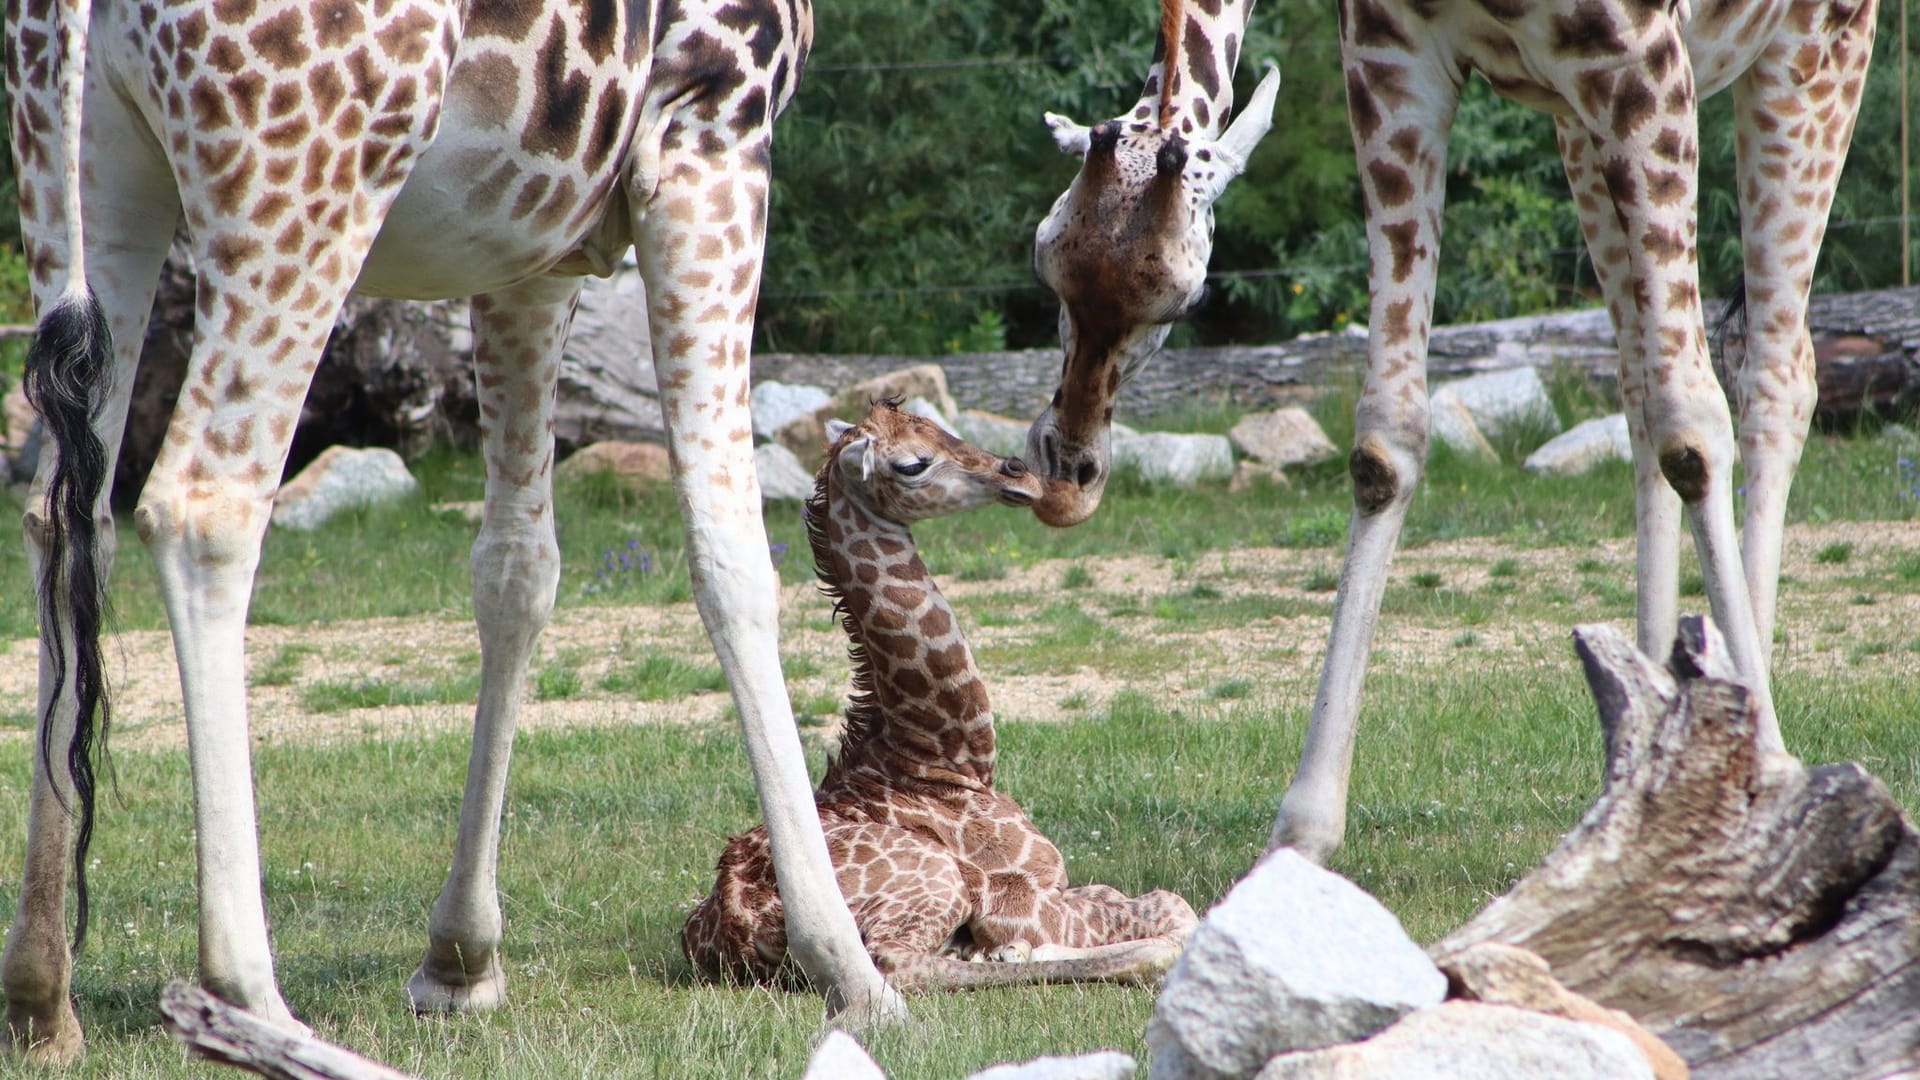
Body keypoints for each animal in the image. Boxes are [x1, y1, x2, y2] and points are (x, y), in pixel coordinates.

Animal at [3, 0, 902, 1053]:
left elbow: (517, 568)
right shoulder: (713, 131)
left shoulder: (533, 239)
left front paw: (460, 958)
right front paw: (848, 967)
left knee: (67, 518)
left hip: (85, 169)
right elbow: (734, 556)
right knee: (202, 505)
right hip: (305, 173)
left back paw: (42, 996)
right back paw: (252, 1001)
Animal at [683, 401, 1190, 983]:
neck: (943, 758)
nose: (1019, 473)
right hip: (935, 880)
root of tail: (736, 926)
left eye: (940, 426)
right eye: (912, 464)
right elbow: (1172, 906)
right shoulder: (1017, 895)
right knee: (898, 962)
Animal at [1036, 0, 1873, 857]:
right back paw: (1646, 735)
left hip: (1812, 52)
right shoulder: (1394, 66)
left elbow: (1695, 425)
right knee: (1640, 381)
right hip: (1580, 126)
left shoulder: (1643, 66)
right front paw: (1302, 833)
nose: (1068, 469)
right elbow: (1386, 440)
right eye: (1046, 263)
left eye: (1185, 298)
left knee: (1775, 372)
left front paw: (1765, 771)